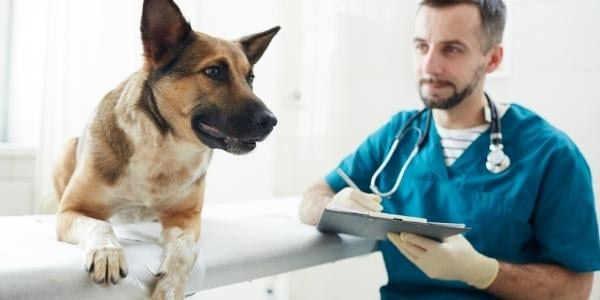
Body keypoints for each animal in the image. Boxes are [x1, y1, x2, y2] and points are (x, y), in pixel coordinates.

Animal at [52, 0, 278, 298]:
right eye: (214, 71)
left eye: (250, 78)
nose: (272, 121)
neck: (165, 147)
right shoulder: (72, 211)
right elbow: (101, 224)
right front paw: (107, 252)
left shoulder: (186, 218)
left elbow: (186, 249)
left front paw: (171, 283)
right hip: (67, 149)